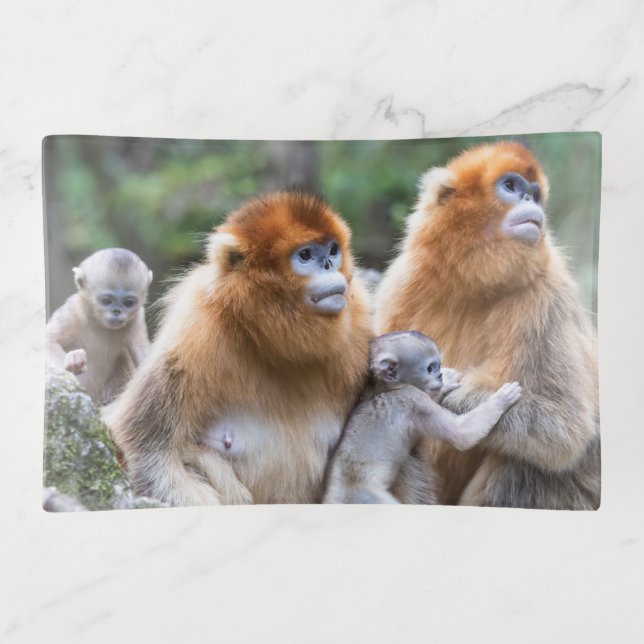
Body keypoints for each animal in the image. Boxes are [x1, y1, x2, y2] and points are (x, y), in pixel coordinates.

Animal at [46, 248, 153, 405]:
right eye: (106, 301)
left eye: (128, 303)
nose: (116, 311)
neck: (98, 322)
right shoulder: (73, 311)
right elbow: (47, 340)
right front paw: (72, 362)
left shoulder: (137, 318)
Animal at [102, 192, 371, 506]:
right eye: (305, 255)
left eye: (333, 249)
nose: (329, 264)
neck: (278, 345)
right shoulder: (193, 335)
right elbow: (148, 454)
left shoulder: (361, 322)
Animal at [323, 332, 521, 504]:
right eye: (430, 369)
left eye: (438, 367)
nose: (439, 375)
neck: (387, 389)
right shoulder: (414, 401)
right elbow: (461, 434)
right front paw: (501, 399)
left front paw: (447, 380)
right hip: (367, 497)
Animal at [375, 142, 600, 510]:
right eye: (511, 186)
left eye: (535, 195)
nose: (531, 203)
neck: (475, 283)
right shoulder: (403, 282)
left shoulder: (547, 293)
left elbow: (564, 430)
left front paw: (447, 397)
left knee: (523, 463)